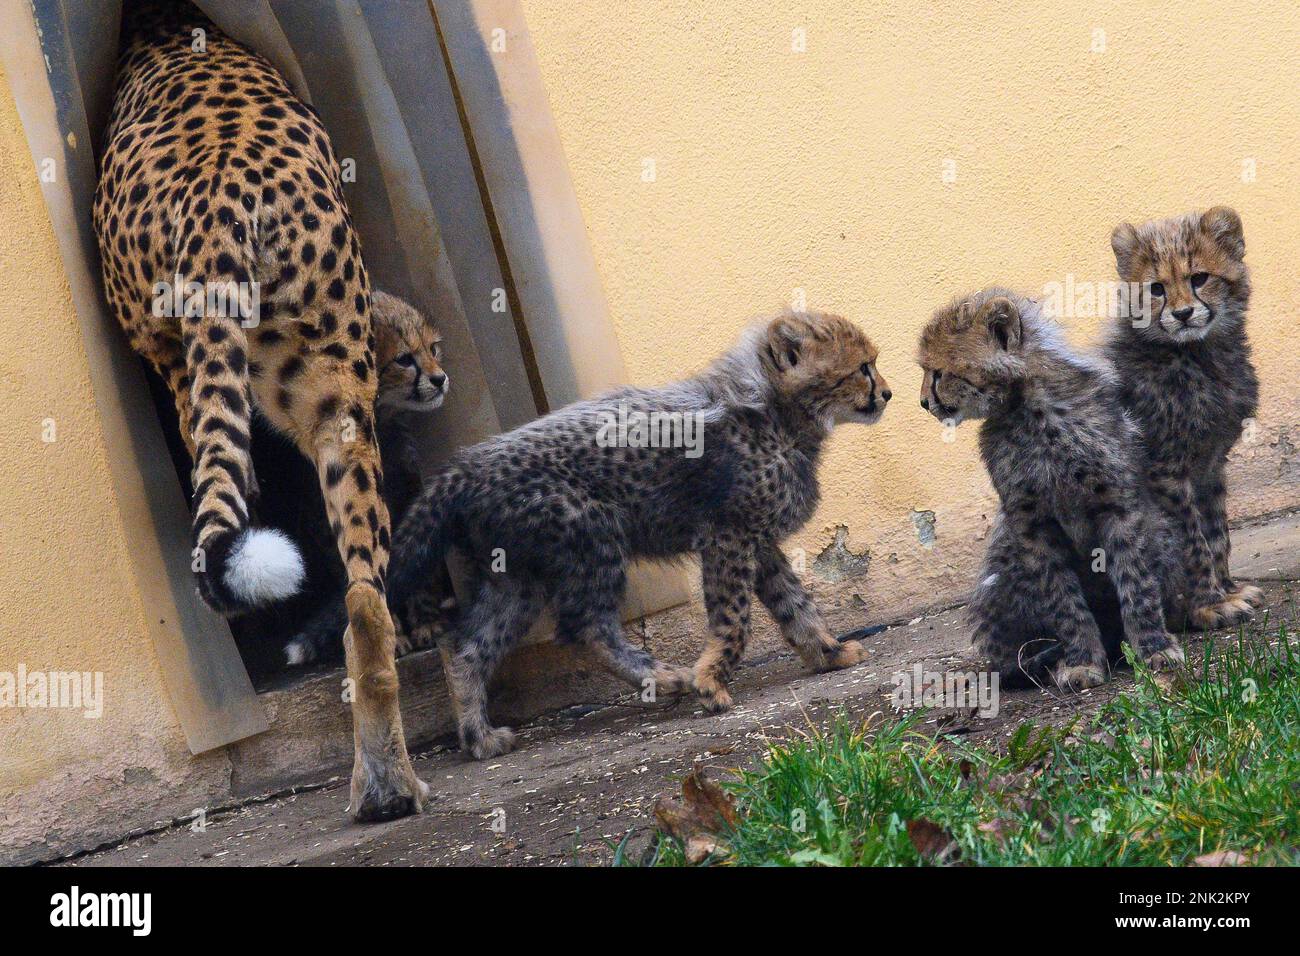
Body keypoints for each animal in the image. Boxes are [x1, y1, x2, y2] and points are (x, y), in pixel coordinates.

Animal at [93, 0, 424, 820]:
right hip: (340, 405)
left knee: (219, 469)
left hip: (189, 361)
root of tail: (219, 186)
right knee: (365, 601)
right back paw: (385, 784)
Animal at [388, 309, 890, 759]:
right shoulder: (727, 538)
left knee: (468, 647)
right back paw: (668, 677)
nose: (887, 392)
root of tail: (466, 465)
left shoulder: (757, 543)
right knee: (586, 625)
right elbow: (735, 619)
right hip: (593, 538)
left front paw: (828, 652)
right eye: (861, 368)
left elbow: (795, 604)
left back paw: (479, 738)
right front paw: (710, 680)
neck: (772, 410)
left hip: (516, 574)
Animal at [917, 288, 1185, 690]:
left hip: (1163, 532)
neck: (1028, 407)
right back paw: (1036, 659)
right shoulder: (1030, 523)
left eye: (938, 373)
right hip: (1002, 563)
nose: (923, 402)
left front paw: (1155, 647)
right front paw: (1081, 661)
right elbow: (1062, 599)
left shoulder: (1118, 504)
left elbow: (1137, 581)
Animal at [1106, 206, 1262, 630]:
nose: (1183, 313)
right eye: (1157, 289)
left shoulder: (1211, 463)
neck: (1196, 353)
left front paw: (1228, 589)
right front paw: (1208, 605)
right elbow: (1193, 541)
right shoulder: (1166, 470)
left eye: (1199, 278)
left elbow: (1217, 532)